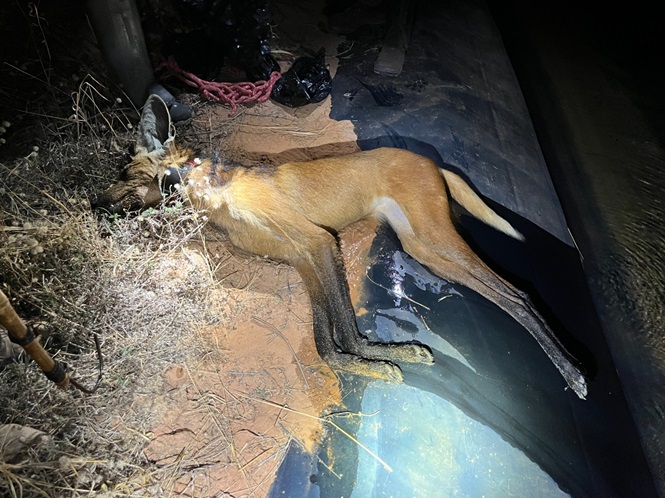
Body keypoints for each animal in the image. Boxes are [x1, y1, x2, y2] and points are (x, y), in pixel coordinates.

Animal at [94, 95, 588, 398]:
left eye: (121, 172)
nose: (93, 204)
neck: (212, 192)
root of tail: (430, 160)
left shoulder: (317, 243)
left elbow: (344, 332)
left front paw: (387, 361)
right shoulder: (302, 259)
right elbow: (326, 345)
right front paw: (384, 361)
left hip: (436, 239)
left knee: (518, 295)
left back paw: (574, 374)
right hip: (425, 250)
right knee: (504, 295)